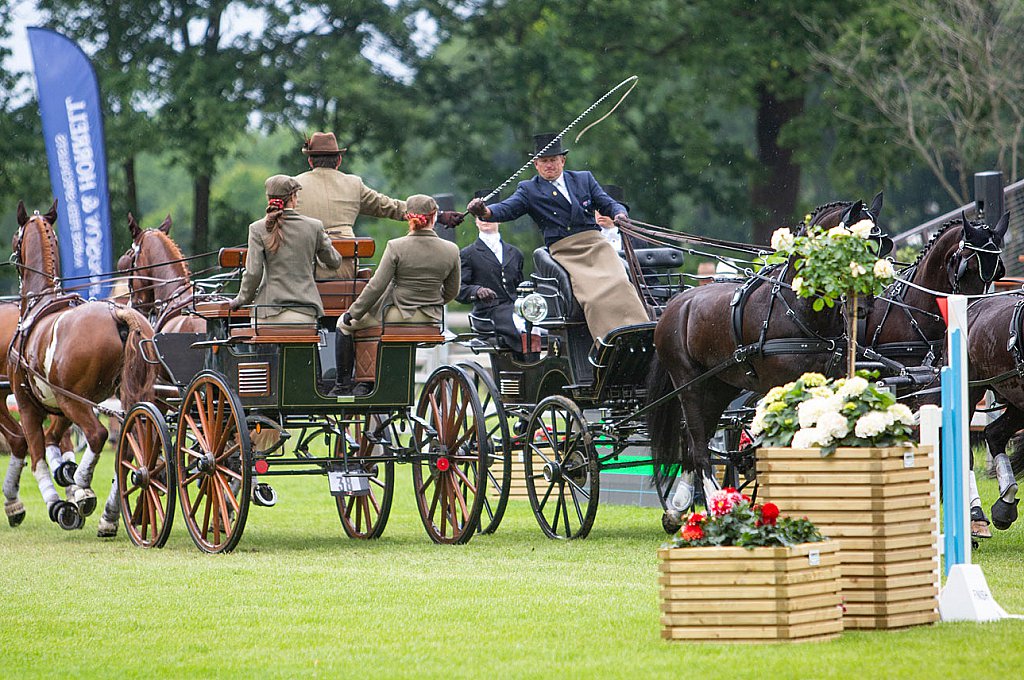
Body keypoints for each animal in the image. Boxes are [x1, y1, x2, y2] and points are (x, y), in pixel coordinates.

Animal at [5, 200, 155, 532]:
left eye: (15, 238)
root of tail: (117, 314)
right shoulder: (58, 408)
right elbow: (52, 441)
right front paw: (66, 476)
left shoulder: (28, 403)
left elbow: (37, 456)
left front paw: (59, 501)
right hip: (119, 399)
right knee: (131, 446)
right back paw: (110, 512)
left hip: (75, 401)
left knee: (99, 436)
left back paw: (85, 489)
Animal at [647, 193, 880, 528]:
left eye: (880, 247)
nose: (864, 306)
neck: (798, 306)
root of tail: (675, 303)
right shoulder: (781, 385)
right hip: (688, 384)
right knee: (700, 446)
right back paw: (717, 506)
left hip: (719, 386)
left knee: (693, 441)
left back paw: (679, 508)